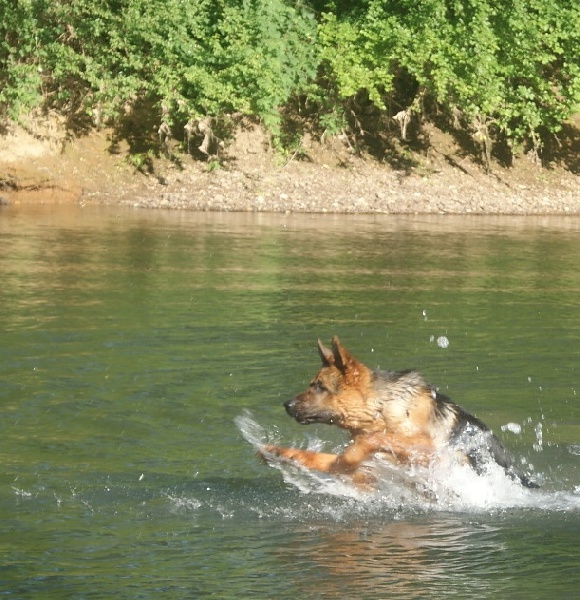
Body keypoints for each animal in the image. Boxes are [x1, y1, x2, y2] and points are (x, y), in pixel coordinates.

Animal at [262, 337, 538, 488]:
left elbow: (374, 440)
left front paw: (353, 454)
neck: (380, 411)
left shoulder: (429, 451)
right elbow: (320, 459)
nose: (286, 404)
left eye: (319, 386)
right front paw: (278, 452)